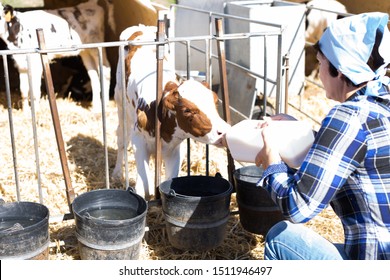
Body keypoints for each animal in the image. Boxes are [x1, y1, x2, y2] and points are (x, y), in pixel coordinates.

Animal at [111, 24, 230, 199]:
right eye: (187, 110)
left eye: (215, 101)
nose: (224, 131)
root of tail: (140, 27)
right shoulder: (138, 141)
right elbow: (143, 187)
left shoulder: (173, 149)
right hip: (121, 106)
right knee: (121, 138)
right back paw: (117, 172)